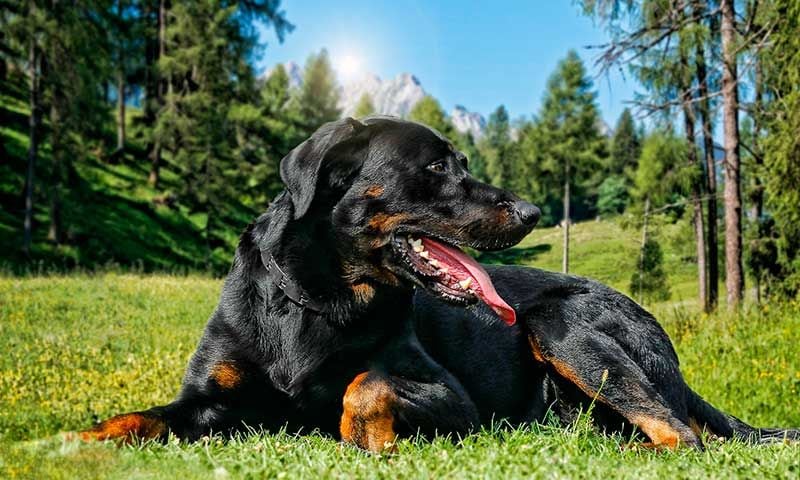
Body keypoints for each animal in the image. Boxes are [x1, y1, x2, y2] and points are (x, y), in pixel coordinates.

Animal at [83, 115, 800, 450]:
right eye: (435, 166)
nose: (533, 212)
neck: (318, 300)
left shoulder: (453, 401)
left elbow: (365, 383)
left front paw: (366, 436)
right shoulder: (207, 398)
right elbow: (141, 415)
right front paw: (79, 438)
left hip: (559, 322)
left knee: (684, 434)